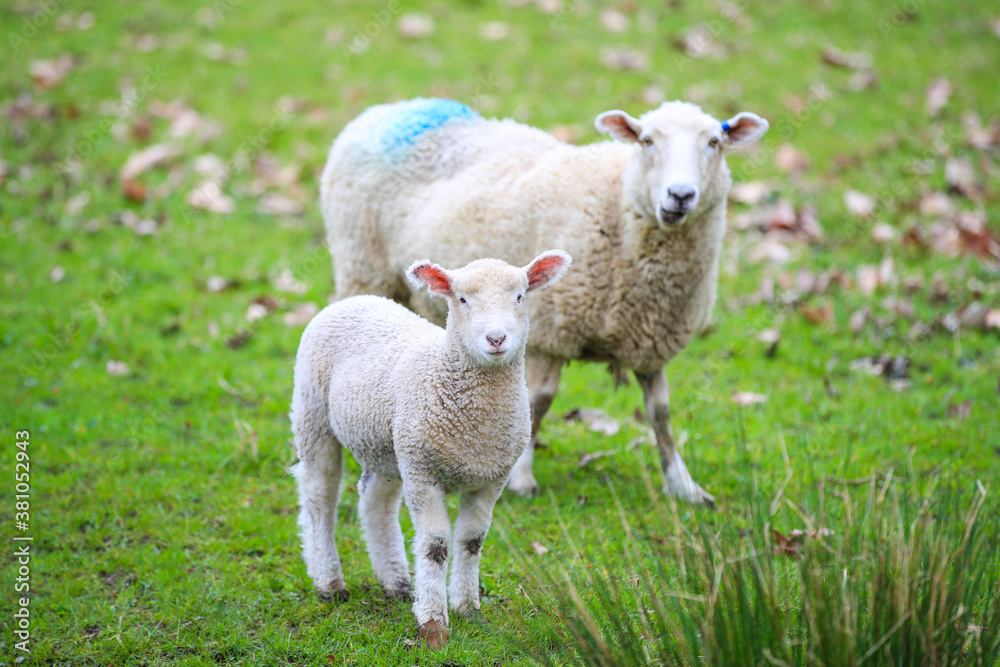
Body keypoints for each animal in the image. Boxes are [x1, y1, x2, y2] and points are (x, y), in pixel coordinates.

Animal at [290, 249, 572, 648]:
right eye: (462, 299)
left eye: (520, 296)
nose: (496, 338)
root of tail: (356, 300)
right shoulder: (424, 474)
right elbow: (435, 545)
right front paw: (433, 622)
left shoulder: (491, 477)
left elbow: (471, 540)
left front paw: (468, 607)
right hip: (314, 414)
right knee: (319, 499)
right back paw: (329, 582)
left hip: (390, 445)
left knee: (375, 503)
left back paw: (396, 582)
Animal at [320, 98, 764, 506]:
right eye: (647, 140)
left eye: (715, 142)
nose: (680, 195)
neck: (617, 208)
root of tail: (393, 108)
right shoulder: (552, 332)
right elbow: (541, 400)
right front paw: (520, 477)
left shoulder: (651, 339)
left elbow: (661, 413)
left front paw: (683, 485)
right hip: (362, 266)